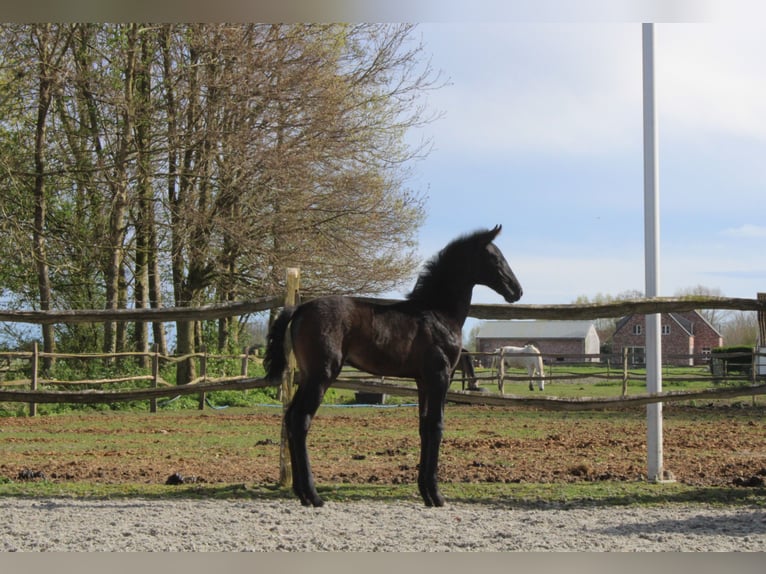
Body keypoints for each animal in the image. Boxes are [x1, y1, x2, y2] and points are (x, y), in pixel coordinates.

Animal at [264, 226, 520, 508]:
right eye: (496, 258)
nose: (517, 291)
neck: (437, 312)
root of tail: (300, 308)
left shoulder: (422, 381)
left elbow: (424, 427)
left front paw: (425, 493)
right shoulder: (440, 377)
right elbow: (437, 426)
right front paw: (437, 495)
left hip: (309, 376)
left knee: (290, 417)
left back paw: (301, 494)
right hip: (322, 375)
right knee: (301, 420)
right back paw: (313, 495)